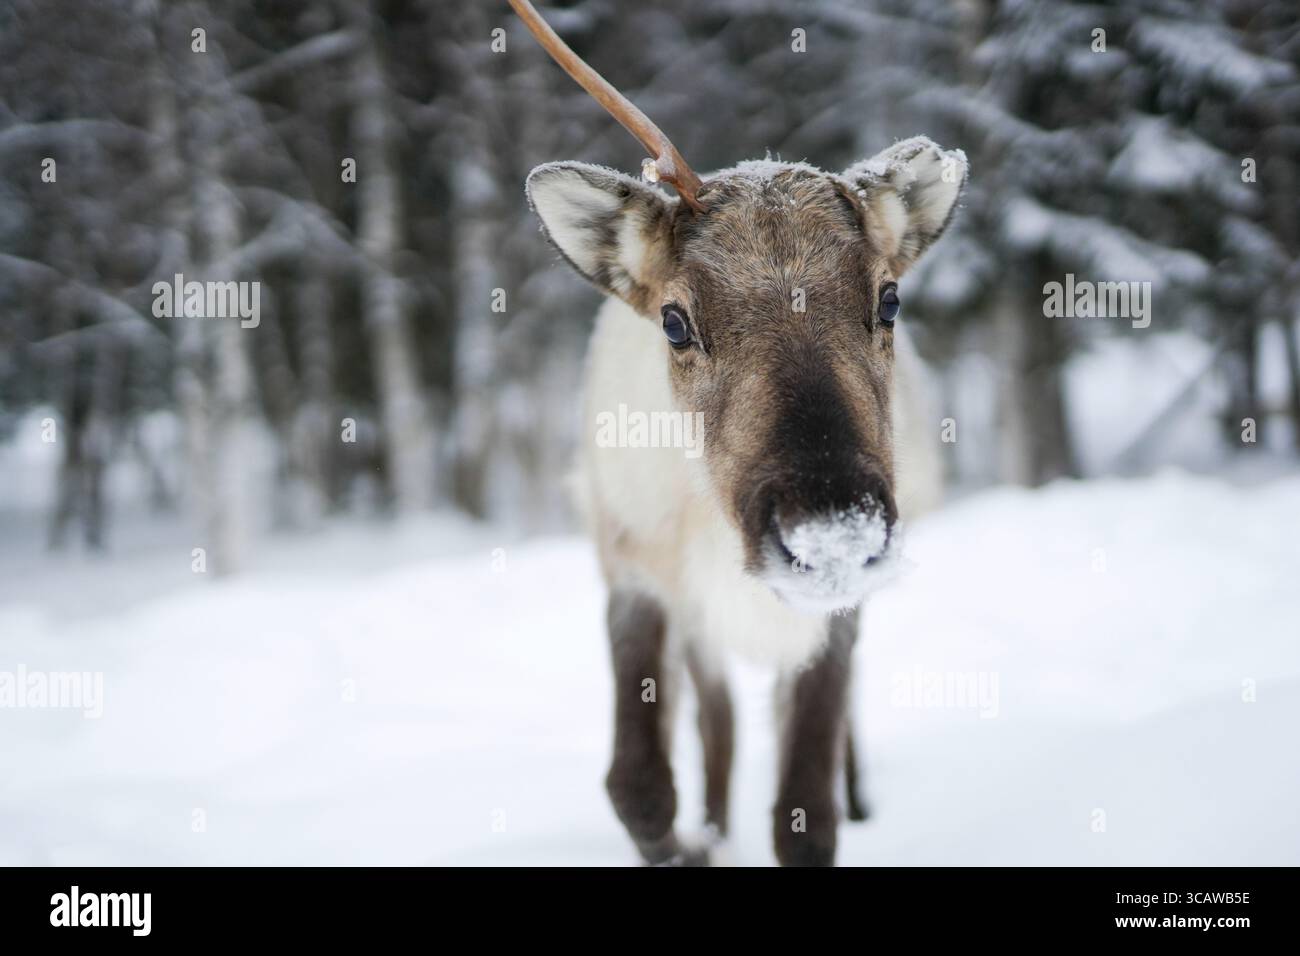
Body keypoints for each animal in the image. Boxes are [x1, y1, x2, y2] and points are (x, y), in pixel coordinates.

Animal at [509, 0, 966, 866]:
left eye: (888, 299)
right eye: (675, 320)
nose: (831, 530)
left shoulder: (831, 614)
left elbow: (807, 811)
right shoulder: (638, 574)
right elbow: (640, 783)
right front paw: (697, 845)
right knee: (715, 727)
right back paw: (718, 824)